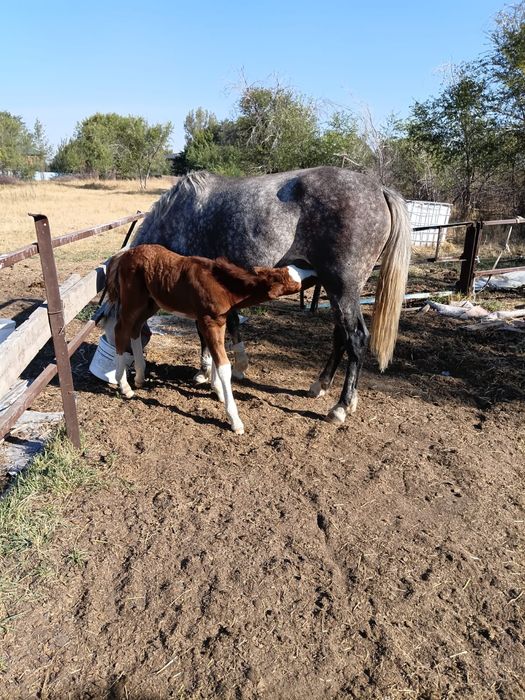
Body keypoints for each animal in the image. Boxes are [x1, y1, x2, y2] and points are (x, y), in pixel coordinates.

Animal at [103, 244, 313, 434]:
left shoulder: (216, 322)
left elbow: (213, 356)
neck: (223, 286)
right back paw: (124, 386)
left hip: (151, 302)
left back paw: (139, 377)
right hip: (133, 300)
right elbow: (223, 365)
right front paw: (235, 420)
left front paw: (217, 390)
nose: (310, 266)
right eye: (294, 281)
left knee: (136, 329)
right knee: (121, 330)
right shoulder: (210, 322)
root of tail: (123, 255)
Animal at [122, 165, 411, 425]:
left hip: (342, 289)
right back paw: (320, 386)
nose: (125, 377)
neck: (180, 214)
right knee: (341, 336)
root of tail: (380, 189)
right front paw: (234, 367)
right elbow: (232, 324)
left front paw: (205, 372)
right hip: (338, 291)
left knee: (356, 338)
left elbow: (203, 332)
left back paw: (341, 407)